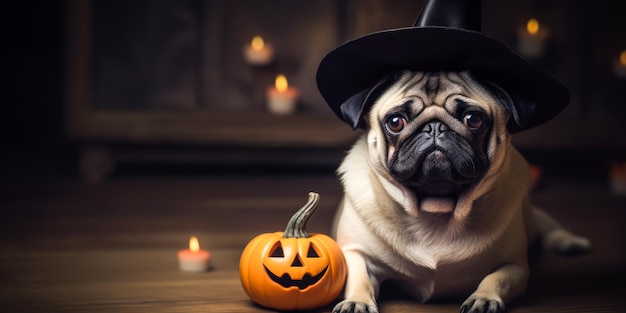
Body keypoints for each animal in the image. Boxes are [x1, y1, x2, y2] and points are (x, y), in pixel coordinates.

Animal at [330, 70, 588, 312]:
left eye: (473, 119)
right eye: (395, 122)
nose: (434, 127)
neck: (435, 209)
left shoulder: (515, 266)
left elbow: (496, 277)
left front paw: (484, 298)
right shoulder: (356, 254)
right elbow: (359, 279)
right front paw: (357, 302)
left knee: (548, 226)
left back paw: (570, 241)